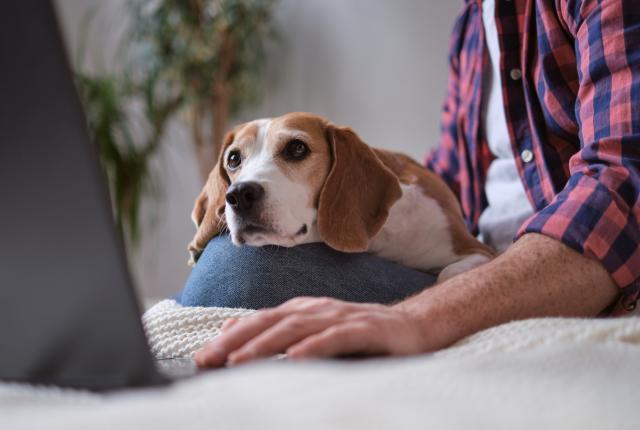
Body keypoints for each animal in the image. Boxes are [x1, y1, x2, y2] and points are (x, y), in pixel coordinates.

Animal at [188, 111, 492, 282]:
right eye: (233, 159)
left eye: (297, 148)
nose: (239, 195)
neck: (380, 239)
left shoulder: (479, 251)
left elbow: (447, 274)